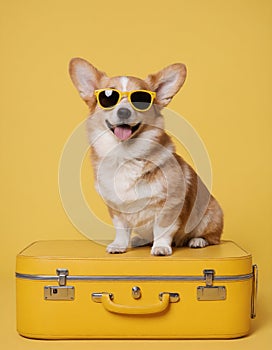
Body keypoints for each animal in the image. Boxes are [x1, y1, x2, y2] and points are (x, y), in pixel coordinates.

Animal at [68, 56, 223, 254]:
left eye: (141, 100)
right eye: (107, 97)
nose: (123, 112)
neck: (125, 155)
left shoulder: (169, 205)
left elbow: (162, 229)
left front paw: (161, 248)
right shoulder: (116, 209)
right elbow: (121, 230)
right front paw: (119, 245)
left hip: (209, 214)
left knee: (212, 237)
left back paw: (197, 241)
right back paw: (140, 239)